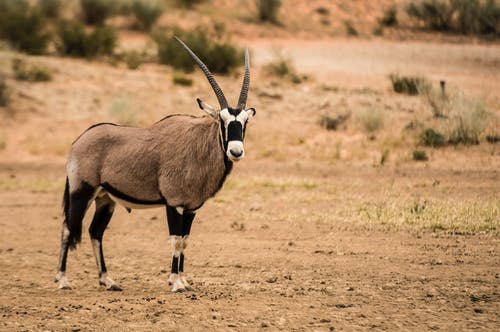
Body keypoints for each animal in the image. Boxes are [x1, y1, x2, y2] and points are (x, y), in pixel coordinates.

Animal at [56, 36, 256, 292]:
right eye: (222, 120)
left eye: (244, 122)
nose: (235, 151)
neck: (199, 144)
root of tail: (79, 140)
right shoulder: (174, 203)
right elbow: (176, 240)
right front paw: (176, 283)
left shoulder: (191, 208)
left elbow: (185, 241)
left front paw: (183, 280)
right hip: (82, 191)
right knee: (67, 228)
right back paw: (63, 280)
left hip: (105, 199)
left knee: (95, 232)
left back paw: (108, 280)